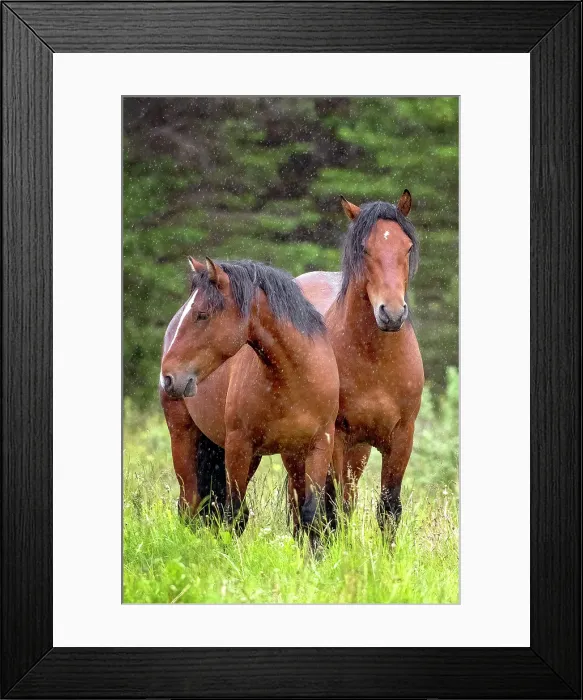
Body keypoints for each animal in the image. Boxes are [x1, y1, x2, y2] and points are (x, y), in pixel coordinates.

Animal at [159, 257, 339, 542]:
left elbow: (311, 514)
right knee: (190, 503)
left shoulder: (319, 445)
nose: (168, 377)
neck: (294, 378)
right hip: (183, 436)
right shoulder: (238, 445)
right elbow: (234, 513)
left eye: (202, 314)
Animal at [296, 190, 424, 539]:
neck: (374, 359)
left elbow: (389, 510)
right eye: (365, 249)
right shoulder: (336, 438)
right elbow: (334, 510)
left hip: (360, 452)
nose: (391, 313)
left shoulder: (402, 437)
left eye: (407, 247)